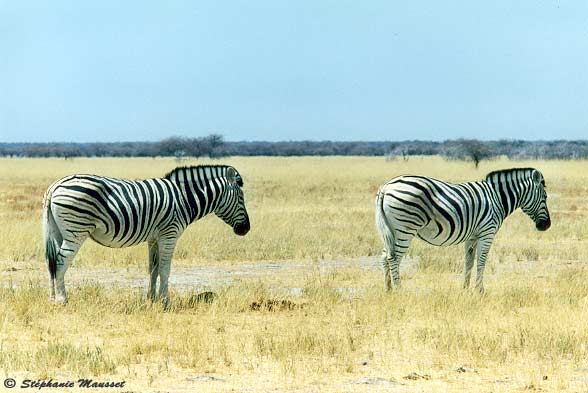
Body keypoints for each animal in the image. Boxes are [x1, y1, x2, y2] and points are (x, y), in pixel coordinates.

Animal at [42, 162, 249, 304]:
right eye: (241, 197)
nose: (245, 229)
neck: (184, 198)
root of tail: (54, 187)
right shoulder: (169, 235)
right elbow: (165, 269)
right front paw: (165, 302)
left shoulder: (154, 238)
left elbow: (153, 269)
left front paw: (151, 299)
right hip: (76, 231)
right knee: (60, 262)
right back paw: (62, 300)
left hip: (57, 231)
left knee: (51, 262)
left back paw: (52, 298)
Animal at [376, 165, 552, 290]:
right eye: (545, 197)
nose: (547, 225)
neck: (497, 198)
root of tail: (385, 187)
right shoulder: (487, 233)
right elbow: (481, 261)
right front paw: (480, 291)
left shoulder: (472, 236)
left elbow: (469, 262)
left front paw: (465, 289)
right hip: (405, 228)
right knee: (393, 258)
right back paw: (399, 290)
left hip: (390, 230)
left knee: (385, 256)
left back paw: (388, 289)